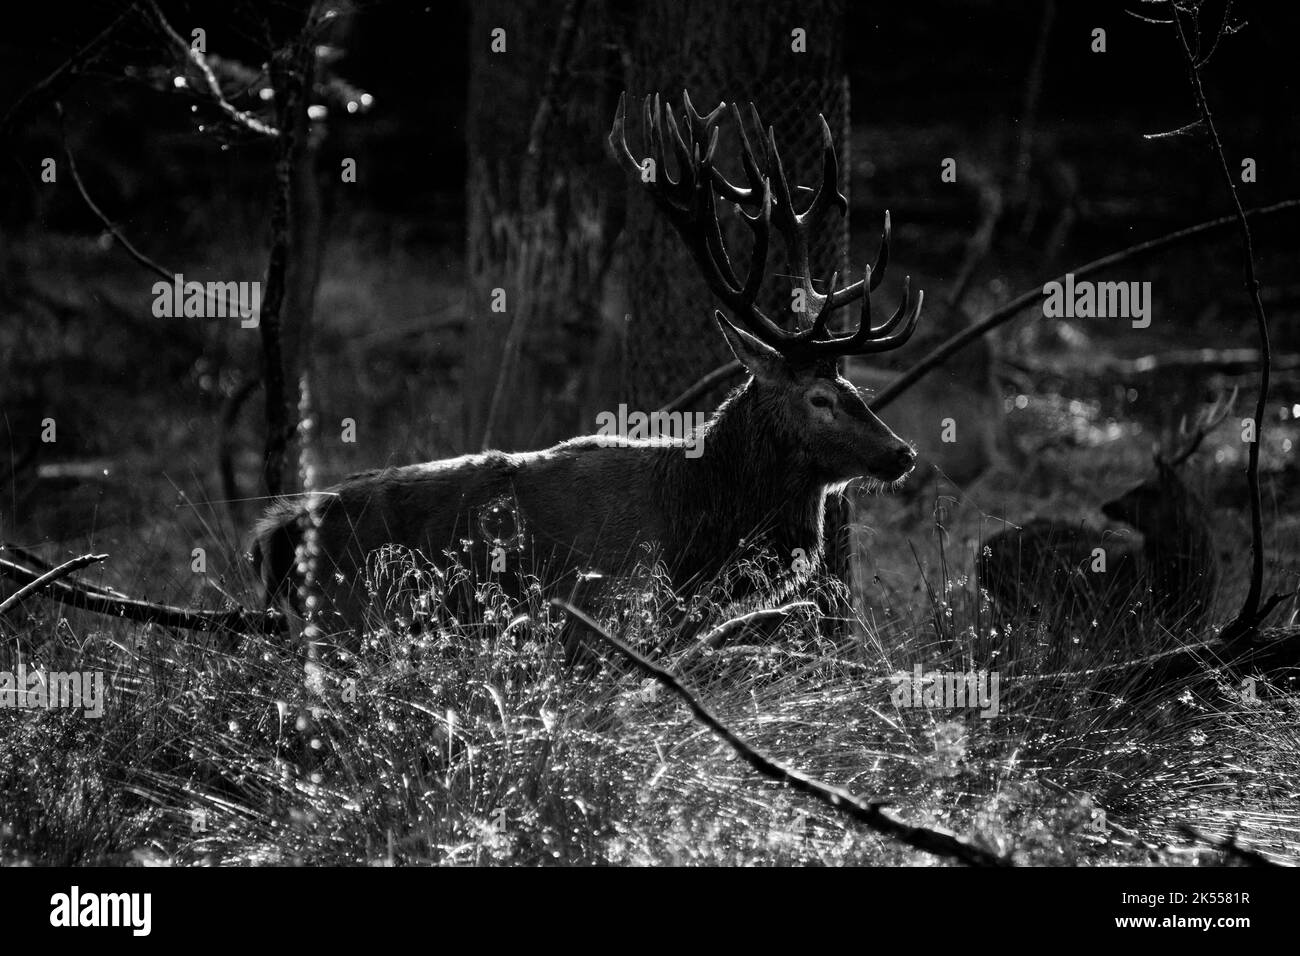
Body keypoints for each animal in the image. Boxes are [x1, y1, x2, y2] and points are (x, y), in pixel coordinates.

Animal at [252, 92, 925, 647]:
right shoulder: (599, 610)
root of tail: (274, 538)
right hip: (353, 616)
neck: (695, 538)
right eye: (819, 398)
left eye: (853, 385)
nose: (904, 453)